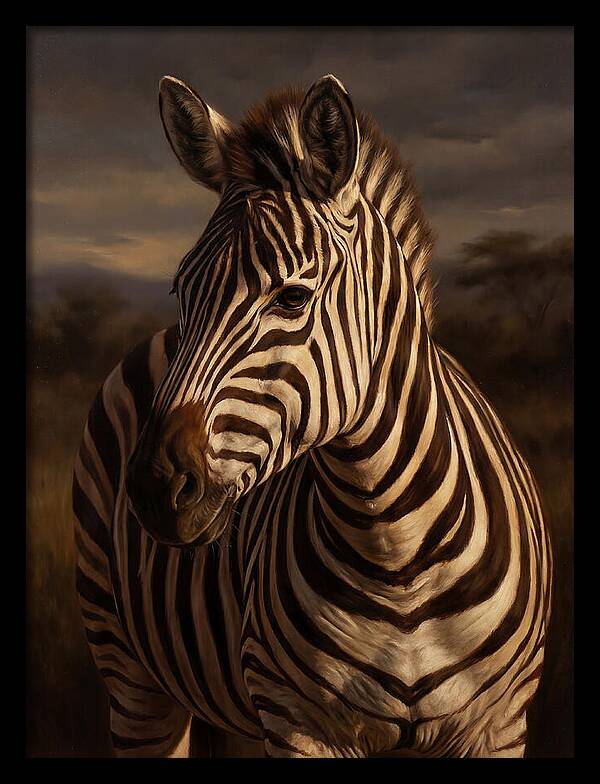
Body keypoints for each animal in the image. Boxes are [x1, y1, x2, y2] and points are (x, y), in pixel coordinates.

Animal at [72, 73, 553, 758]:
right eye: (181, 290)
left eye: (294, 297)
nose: (154, 487)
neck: (395, 554)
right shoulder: (299, 720)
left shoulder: (500, 724)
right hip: (131, 671)